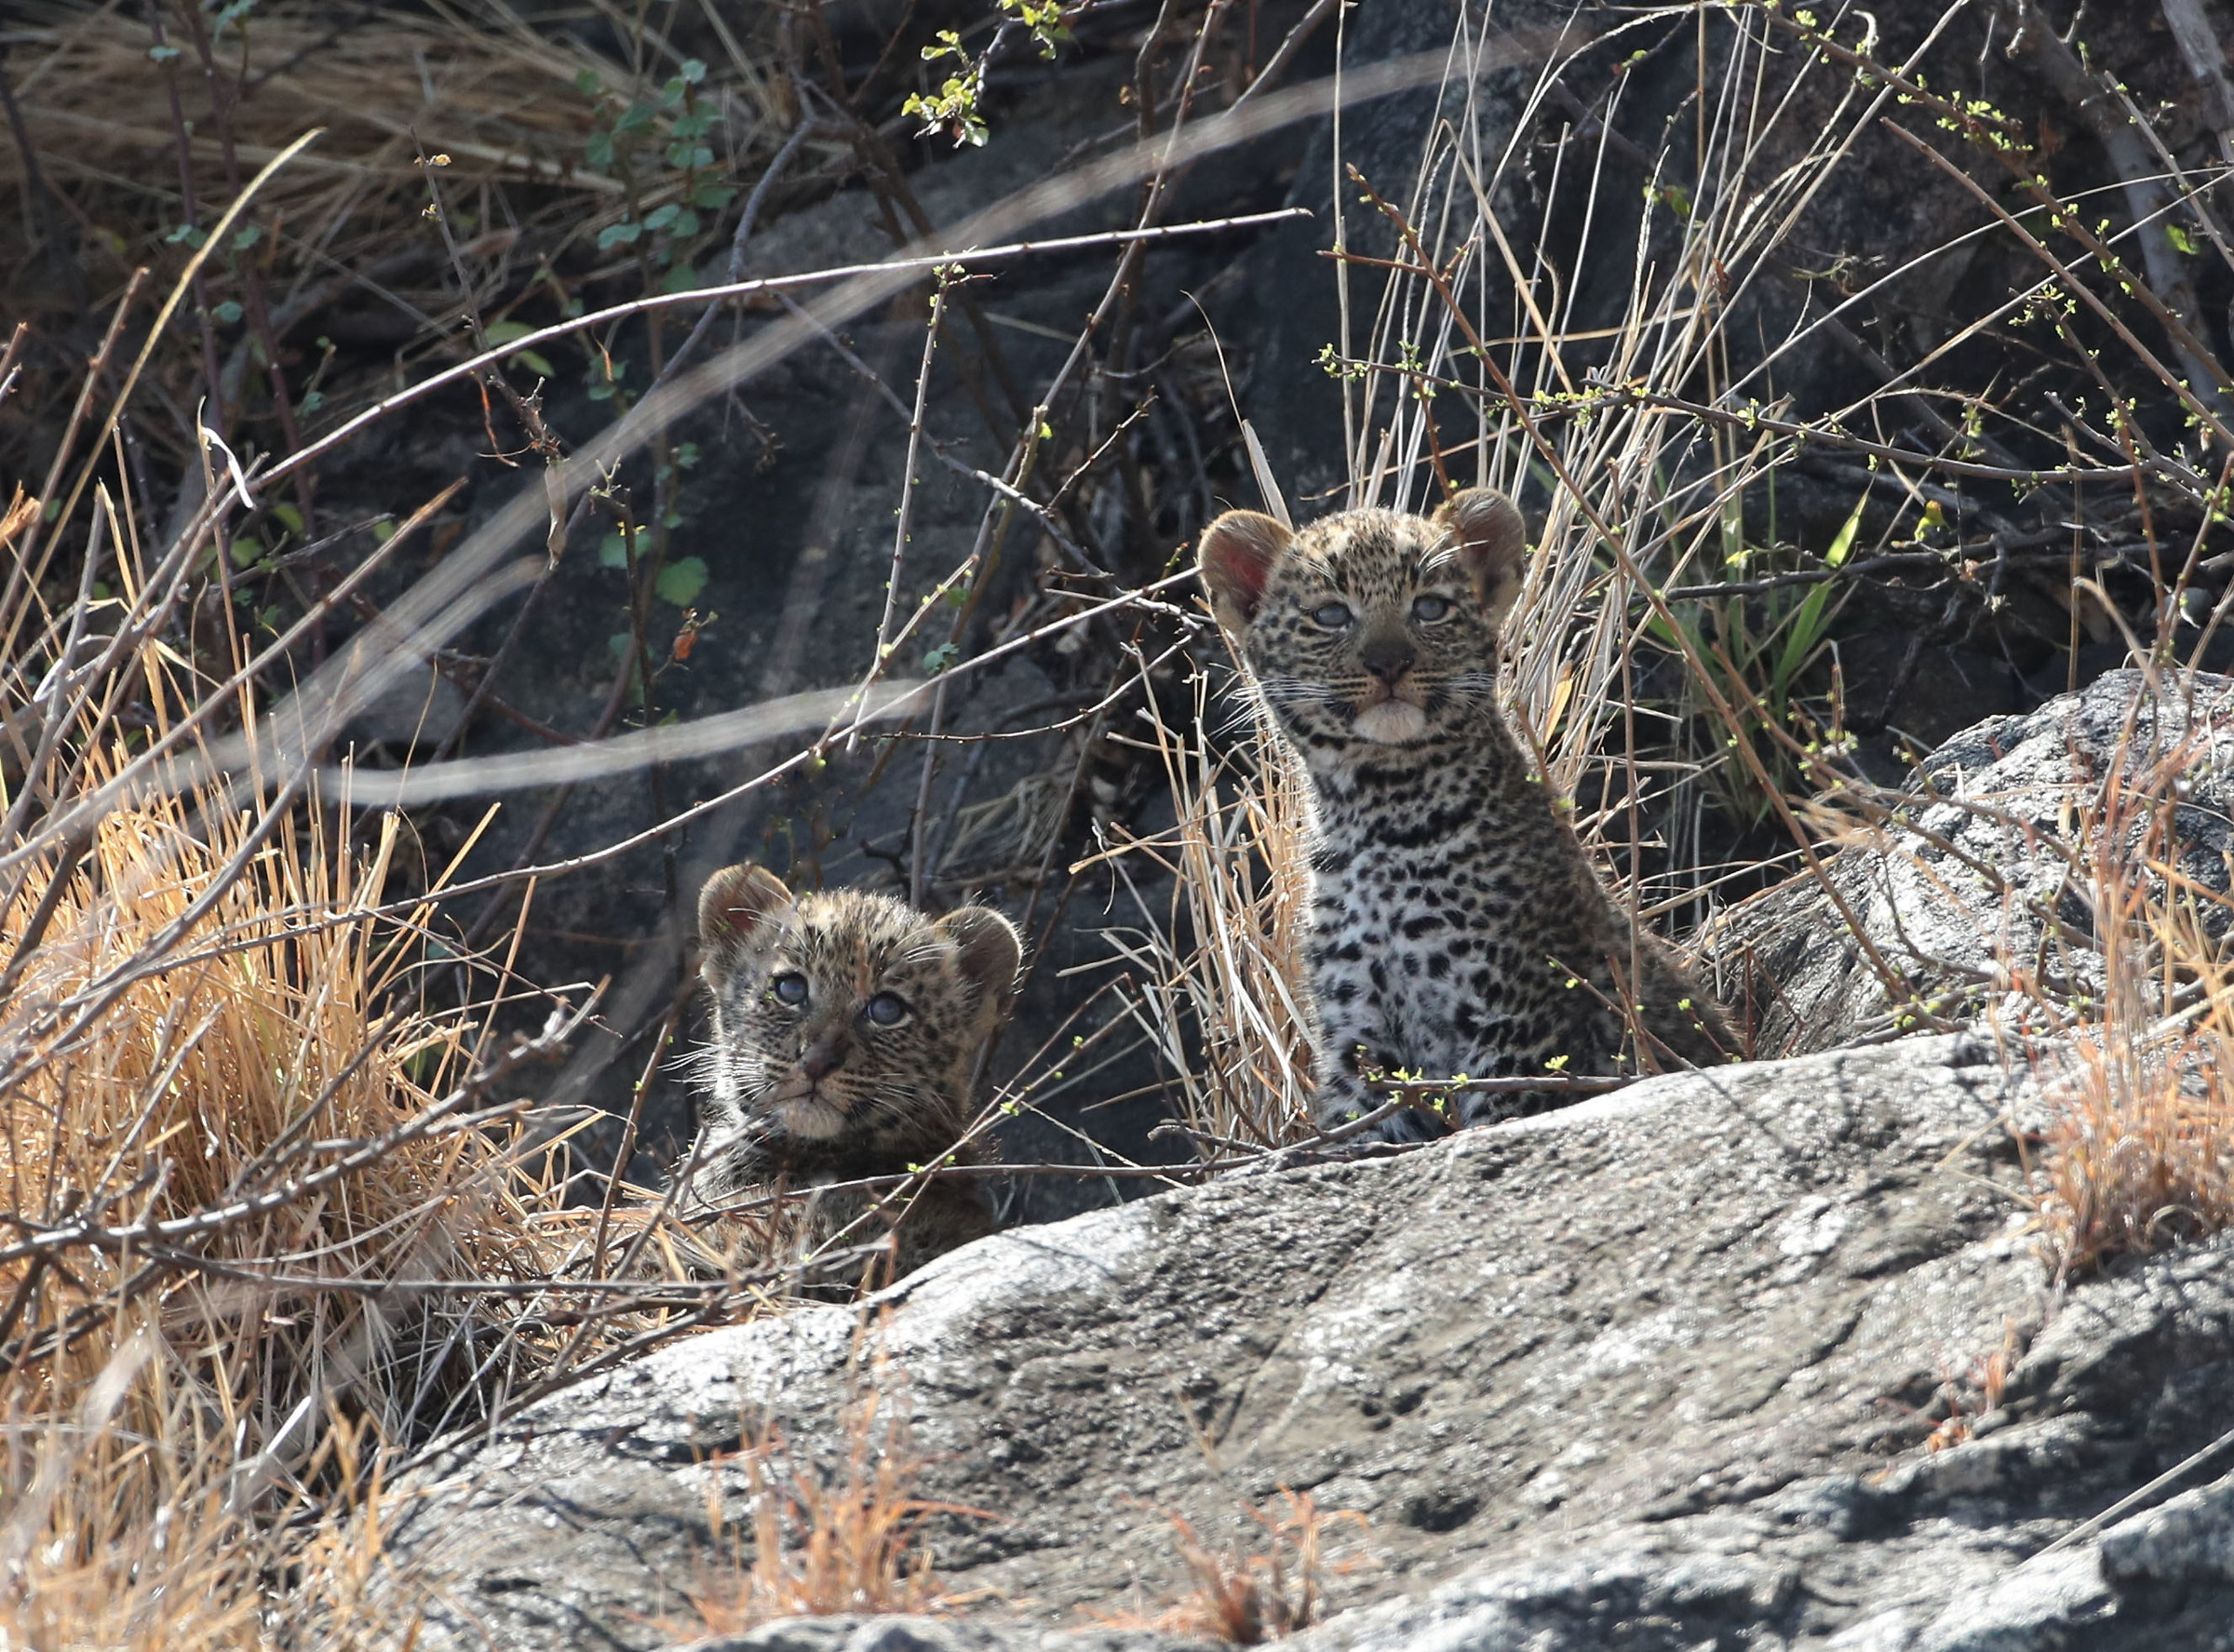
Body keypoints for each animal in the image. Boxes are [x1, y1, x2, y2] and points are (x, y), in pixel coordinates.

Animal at [1197, 487, 1731, 1141]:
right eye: (1330, 616)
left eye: (1430, 608)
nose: (1388, 662)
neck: (1381, 814)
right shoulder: (1357, 1036)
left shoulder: (1516, 1017)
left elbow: (1501, 1119)